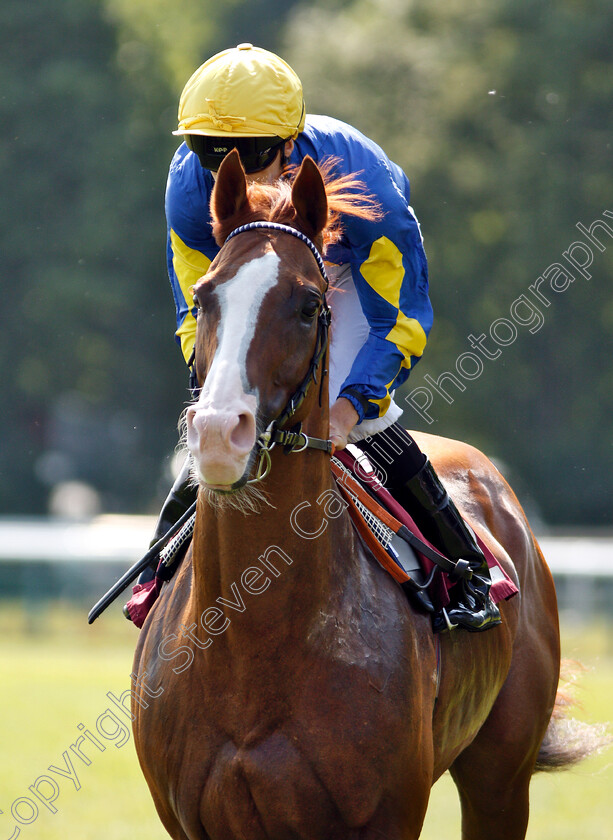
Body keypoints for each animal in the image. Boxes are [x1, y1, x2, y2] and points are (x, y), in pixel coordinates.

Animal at [133, 153, 588, 840]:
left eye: (308, 305)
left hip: (501, 777)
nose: (217, 434)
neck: (253, 647)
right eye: (205, 296)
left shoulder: (385, 814)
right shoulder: (190, 821)